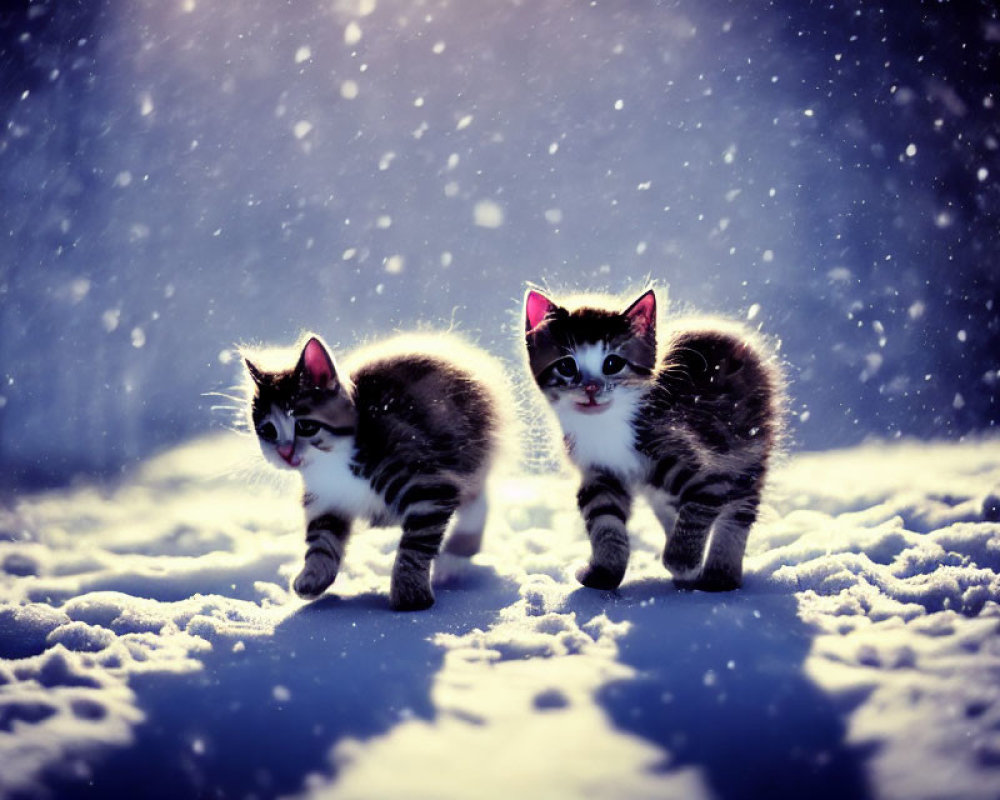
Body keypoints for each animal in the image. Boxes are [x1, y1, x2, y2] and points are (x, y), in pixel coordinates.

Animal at [243, 334, 508, 608]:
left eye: (305, 426)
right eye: (268, 431)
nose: (285, 453)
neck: (334, 464)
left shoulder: (427, 484)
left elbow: (415, 545)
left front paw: (409, 592)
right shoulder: (324, 499)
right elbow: (321, 540)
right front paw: (314, 576)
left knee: (475, 500)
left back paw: (456, 556)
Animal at [524, 286, 780, 588]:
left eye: (612, 363)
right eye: (566, 367)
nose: (591, 387)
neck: (607, 425)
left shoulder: (700, 463)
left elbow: (698, 509)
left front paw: (682, 560)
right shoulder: (599, 473)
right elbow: (604, 518)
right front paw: (604, 573)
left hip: (746, 448)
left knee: (739, 508)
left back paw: (720, 575)